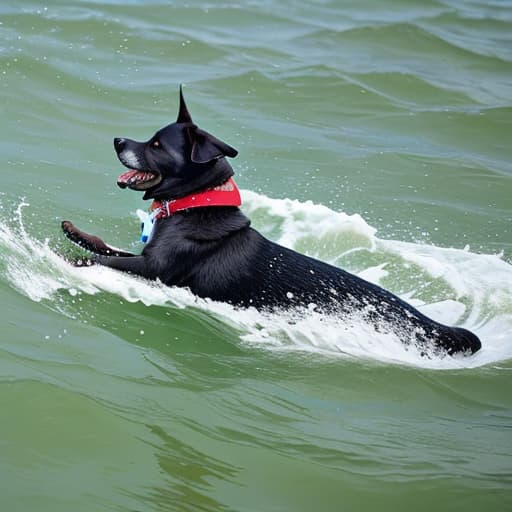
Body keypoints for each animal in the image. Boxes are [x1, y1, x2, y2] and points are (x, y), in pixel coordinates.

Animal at [62, 88, 482, 356]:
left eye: (155, 145)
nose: (118, 140)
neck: (195, 203)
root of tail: (427, 321)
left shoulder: (155, 269)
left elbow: (109, 259)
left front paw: (75, 259)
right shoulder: (147, 256)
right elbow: (107, 246)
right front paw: (74, 232)